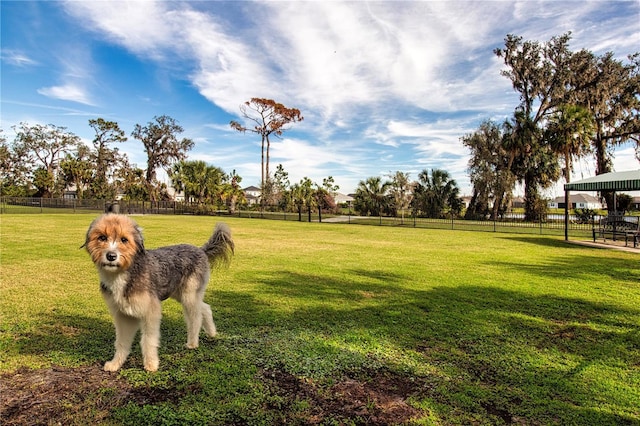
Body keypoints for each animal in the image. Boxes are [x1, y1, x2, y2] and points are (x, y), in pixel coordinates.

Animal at [84, 215, 234, 372]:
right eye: (102, 237)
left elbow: (148, 340)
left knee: (195, 318)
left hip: (189, 295)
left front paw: (151, 364)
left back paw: (192, 343)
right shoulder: (124, 316)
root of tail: (200, 250)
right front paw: (115, 364)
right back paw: (212, 332)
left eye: (124, 239)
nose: (111, 256)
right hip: (179, 293)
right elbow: (121, 342)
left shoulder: (150, 311)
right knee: (205, 307)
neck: (125, 272)